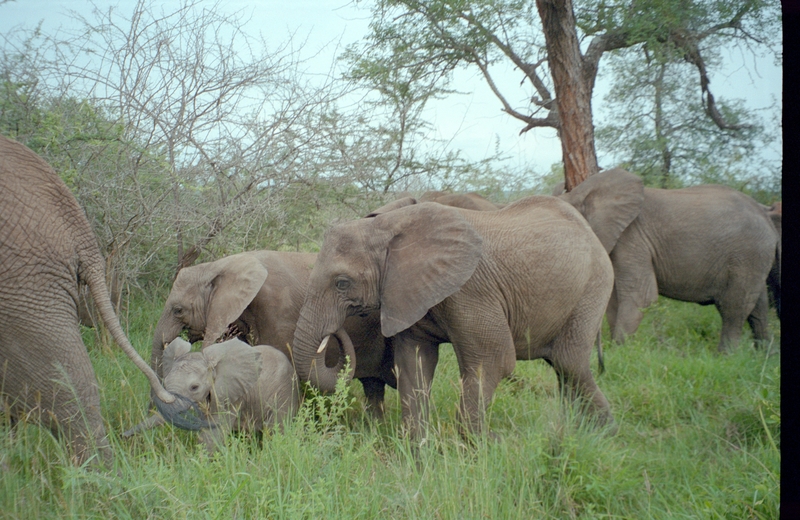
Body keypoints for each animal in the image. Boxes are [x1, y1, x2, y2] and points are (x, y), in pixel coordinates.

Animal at [141, 338, 300, 450]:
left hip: (284, 391)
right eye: (166, 382)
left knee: (276, 430)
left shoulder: (230, 396)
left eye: (194, 387)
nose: (129, 436)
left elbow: (213, 434)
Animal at [290, 195, 616, 438]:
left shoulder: (471, 289)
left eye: (342, 283)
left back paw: (601, 434)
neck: (388, 225)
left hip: (594, 285)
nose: (336, 330)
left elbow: (491, 360)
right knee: (562, 367)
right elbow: (413, 364)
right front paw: (418, 451)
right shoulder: (409, 292)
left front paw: (481, 449)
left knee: (569, 362)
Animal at [552, 169, 780, 352]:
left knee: (734, 307)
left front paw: (619, 351)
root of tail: (765, 213)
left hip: (748, 254)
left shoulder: (632, 237)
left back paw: (725, 357)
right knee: (758, 307)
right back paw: (763, 356)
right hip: (755, 257)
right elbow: (613, 300)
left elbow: (641, 296)